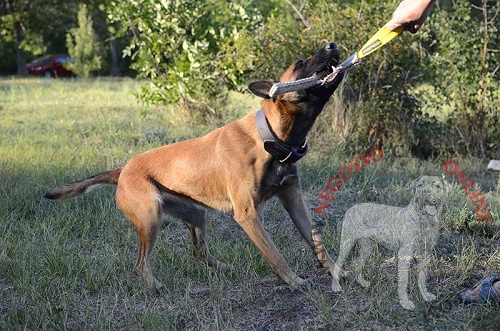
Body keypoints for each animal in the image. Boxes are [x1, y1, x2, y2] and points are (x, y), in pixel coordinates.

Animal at [45, 43, 344, 290]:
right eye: (300, 62)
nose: (333, 44)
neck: (269, 137)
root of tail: (123, 170)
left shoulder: (294, 200)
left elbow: (317, 242)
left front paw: (336, 272)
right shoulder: (247, 215)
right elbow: (275, 255)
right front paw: (295, 282)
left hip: (197, 215)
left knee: (198, 251)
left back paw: (224, 268)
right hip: (150, 218)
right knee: (140, 263)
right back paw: (155, 286)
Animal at [332, 178, 446, 310]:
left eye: (437, 186)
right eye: (420, 185)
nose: (426, 192)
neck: (424, 219)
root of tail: (350, 208)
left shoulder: (426, 255)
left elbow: (422, 278)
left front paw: (425, 295)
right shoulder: (404, 255)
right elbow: (403, 282)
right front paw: (405, 302)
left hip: (367, 247)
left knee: (356, 263)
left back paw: (363, 283)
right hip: (347, 243)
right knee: (337, 264)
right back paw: (335, 286)